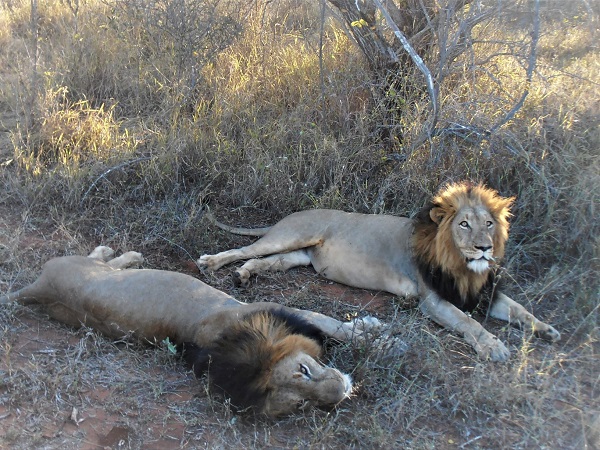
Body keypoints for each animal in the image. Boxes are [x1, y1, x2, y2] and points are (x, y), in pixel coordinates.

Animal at [1, 248, 384, 416]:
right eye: (302, 402)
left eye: (306, 372)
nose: (342, 391)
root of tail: (40, 286)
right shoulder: (287, 311)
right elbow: (332, 323)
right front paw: (379, 335)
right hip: (83, 265)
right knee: (99, 257)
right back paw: (124, 253)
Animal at [199, 181, 560, 360]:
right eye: (464, 224)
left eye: (488, 224)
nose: (484, 248)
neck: (464, 266)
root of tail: (290, 215)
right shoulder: (433, 299)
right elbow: (468, 322)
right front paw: (494, 347)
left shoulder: (485, 293)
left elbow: (520, 309)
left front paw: (546, 329)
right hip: (292, 235)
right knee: (243, 251)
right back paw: (211, 263)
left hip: (298, 256)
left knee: (261, 261)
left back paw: (243, 276)